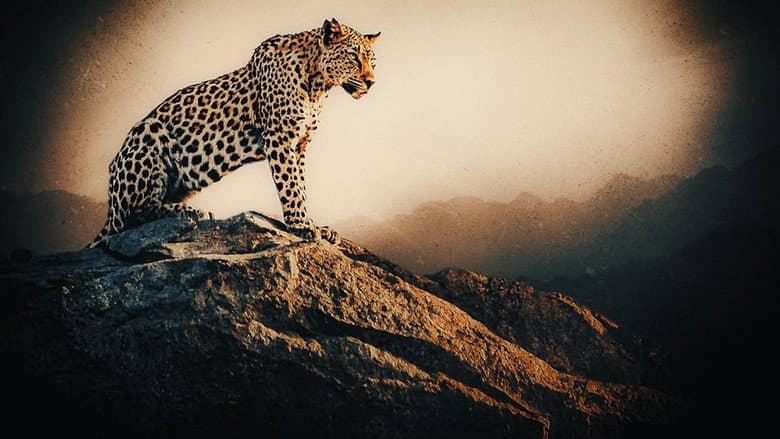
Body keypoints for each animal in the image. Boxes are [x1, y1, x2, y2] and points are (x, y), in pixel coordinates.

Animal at [88, 18, 379, 247]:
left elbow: (301, 185)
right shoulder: (279, 137)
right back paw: (191, 212)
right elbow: (291, 186)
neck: (318, 85)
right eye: (353, 57)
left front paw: (313, 224)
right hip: (149, 132)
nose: (371, 82)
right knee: (135, 215)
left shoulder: (300, 143)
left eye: (372, 61)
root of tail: (110, 206)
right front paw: (301, 226)